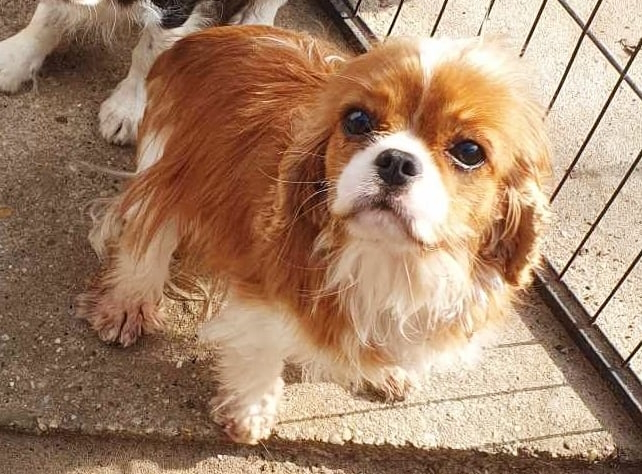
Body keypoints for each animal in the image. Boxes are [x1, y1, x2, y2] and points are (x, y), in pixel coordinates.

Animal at [76, 25, 552, 444]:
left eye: (469, 152)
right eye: (357, 120)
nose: (396, 161)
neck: (386, 256)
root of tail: (205, 38)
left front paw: (388, 369)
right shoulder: (264, 284)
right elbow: (262, 347)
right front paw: (250, 412)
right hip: (173, 165)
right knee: (147, 237)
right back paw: (129, 304)